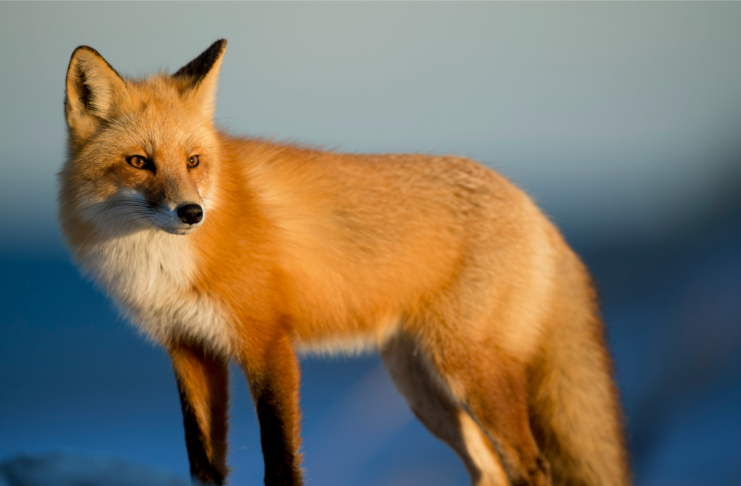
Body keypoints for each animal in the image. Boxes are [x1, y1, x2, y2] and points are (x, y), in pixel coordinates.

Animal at [58, 39, 630, 486]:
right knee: (489, 468)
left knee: (531, 466)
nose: (191, 212)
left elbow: (281, 462)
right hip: (422, 387)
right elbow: (204, 464)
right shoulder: (188, 349)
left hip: (469, 371)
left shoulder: (268, 343)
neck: (160, 264)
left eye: (194, 161)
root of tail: (534, 207)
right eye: (139, 162)